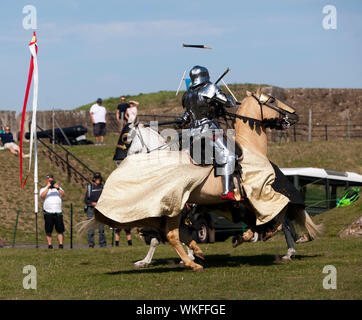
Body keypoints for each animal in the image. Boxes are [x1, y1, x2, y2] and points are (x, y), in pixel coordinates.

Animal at [82, 89, 322, 272]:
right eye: (271, 100)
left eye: (125, 137)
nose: (294, 116)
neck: (251, 149)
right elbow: (167, 236)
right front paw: (153, 260)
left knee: (284, 220)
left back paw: (287, 248)